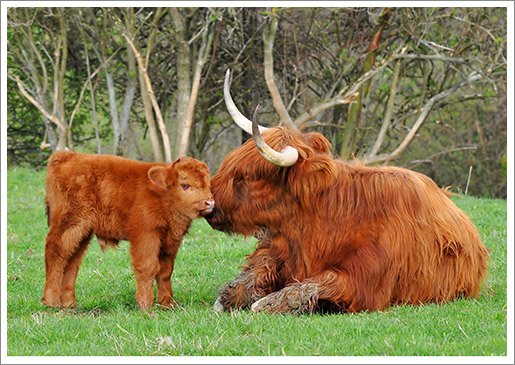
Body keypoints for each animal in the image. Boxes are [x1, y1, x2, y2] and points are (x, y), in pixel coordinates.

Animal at [42, 151, 214, 310]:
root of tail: (67, 155)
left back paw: (69, 303)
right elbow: (148, 267)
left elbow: (165, 272)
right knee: (55, 254)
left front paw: (167, 303)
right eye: (185, 185)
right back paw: (51, 302)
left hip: (82, 234)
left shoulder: (170, 242)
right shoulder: (146, 236)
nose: (210, 203)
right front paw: (146, 305)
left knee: (72, 261)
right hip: (69, 225)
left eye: (208, 184)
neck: (163, 196)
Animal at [204, 69, 490, 314]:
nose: (210, 203)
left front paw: (265, 303)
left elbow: (309, 285)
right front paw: (229, 297)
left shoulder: (363, 281)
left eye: (250, 178)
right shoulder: (276, 250)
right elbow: (254, 273)